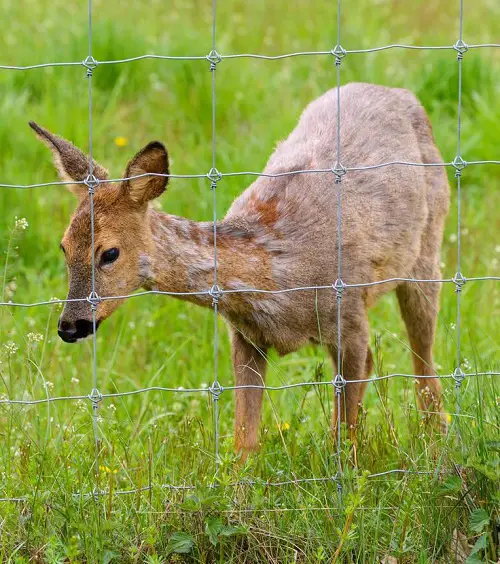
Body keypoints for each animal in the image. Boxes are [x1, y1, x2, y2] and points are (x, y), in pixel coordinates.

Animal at [33, 81, 452, 460]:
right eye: (64, 247)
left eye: (110, 253)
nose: (69, 326)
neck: (273, 271)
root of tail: (398, 92)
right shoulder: (246, 335)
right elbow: (244, 440)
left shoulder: (348, 315)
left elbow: (344, 428)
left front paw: (347, 476)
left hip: (426, 255)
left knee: (423, 359)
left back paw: (437, 440)